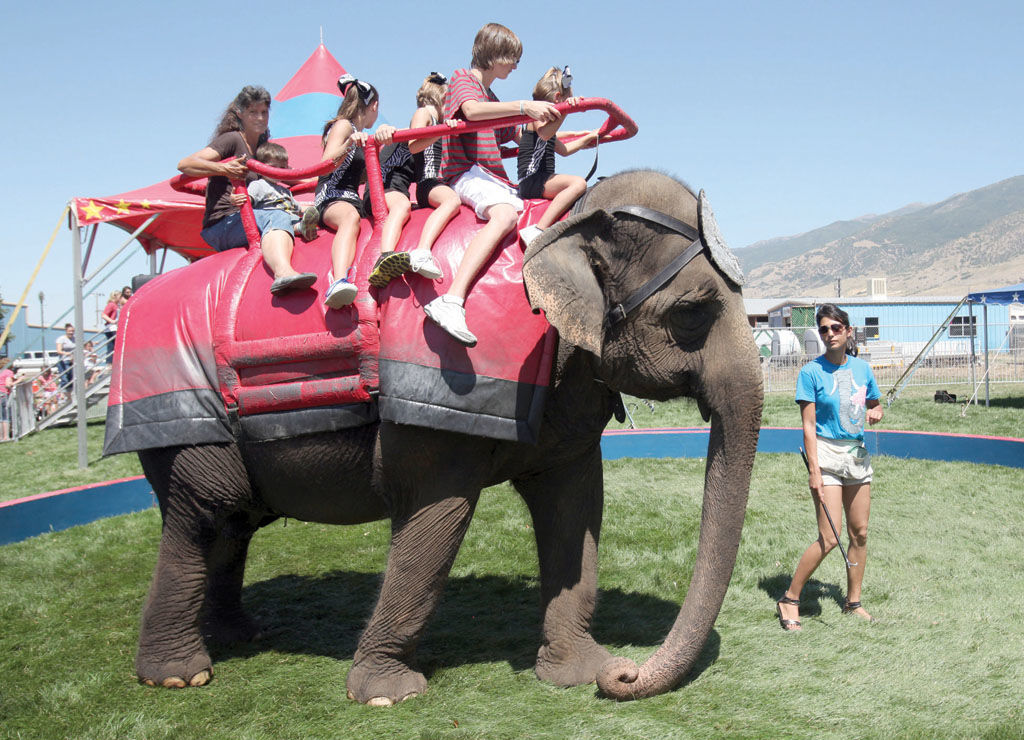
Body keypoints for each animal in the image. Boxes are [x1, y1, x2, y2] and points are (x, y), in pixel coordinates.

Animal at [127, 169, 763, 704]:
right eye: (692, 313)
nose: (627, 673)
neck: (568, 219)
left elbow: (574, 505)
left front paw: (581, 674)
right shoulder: (445, 381)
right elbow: (438, 516)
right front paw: (388, 696)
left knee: (234, 521)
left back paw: (240, 636)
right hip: (183, 413)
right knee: (206, 511)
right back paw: (181, 675)